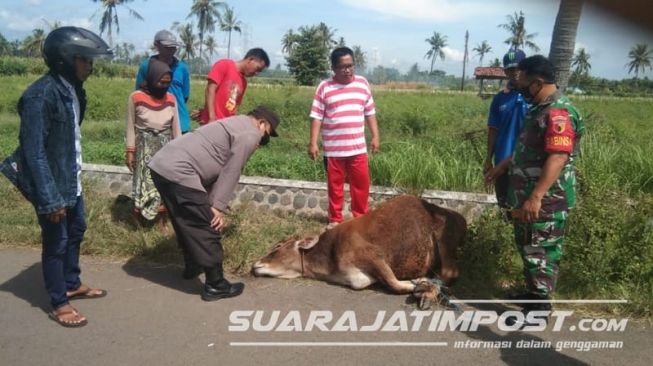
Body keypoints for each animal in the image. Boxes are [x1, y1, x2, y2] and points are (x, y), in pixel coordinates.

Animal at [250, 194, 464, 294]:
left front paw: (418, 283)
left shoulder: (374, 255)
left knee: (450, 273)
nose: (254, 265)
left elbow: (394, 284)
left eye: (277, 247)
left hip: (443, 237)